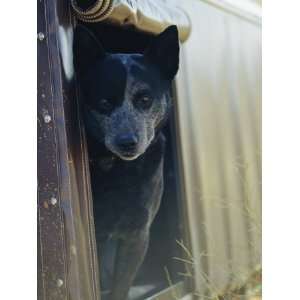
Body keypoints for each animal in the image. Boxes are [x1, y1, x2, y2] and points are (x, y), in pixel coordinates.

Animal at [73, 24, 179, 300]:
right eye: (104, 102)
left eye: (145, 99)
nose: (127, 142)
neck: (120, 169)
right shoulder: (97, 234)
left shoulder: (137, 234)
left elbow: (121, 285)